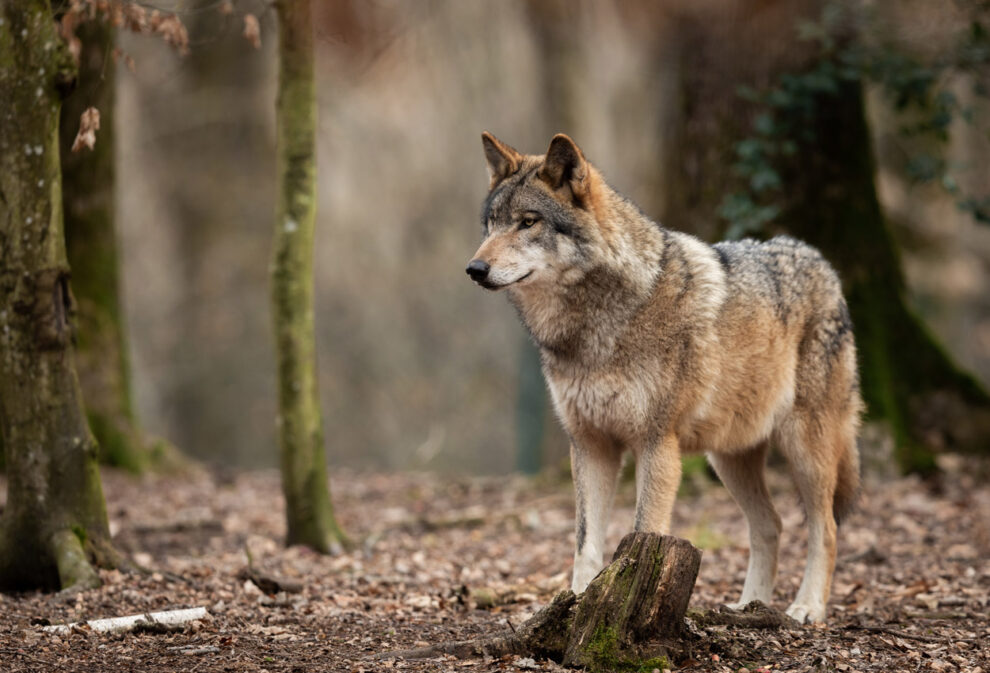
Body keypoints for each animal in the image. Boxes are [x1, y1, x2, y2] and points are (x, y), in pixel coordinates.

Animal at [464, 133, 860, 624]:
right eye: (491, 224)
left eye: (528, 222)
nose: (474, 270)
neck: (595, 327)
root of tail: (820, 259)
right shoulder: (590, 445)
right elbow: (585, 545)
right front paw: (577, 605)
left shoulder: (656, 444)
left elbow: (642, 534)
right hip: (728, 459)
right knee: (771, 524)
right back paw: (749, 606)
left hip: (805, 449)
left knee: (826, 528)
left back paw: (806, 607)